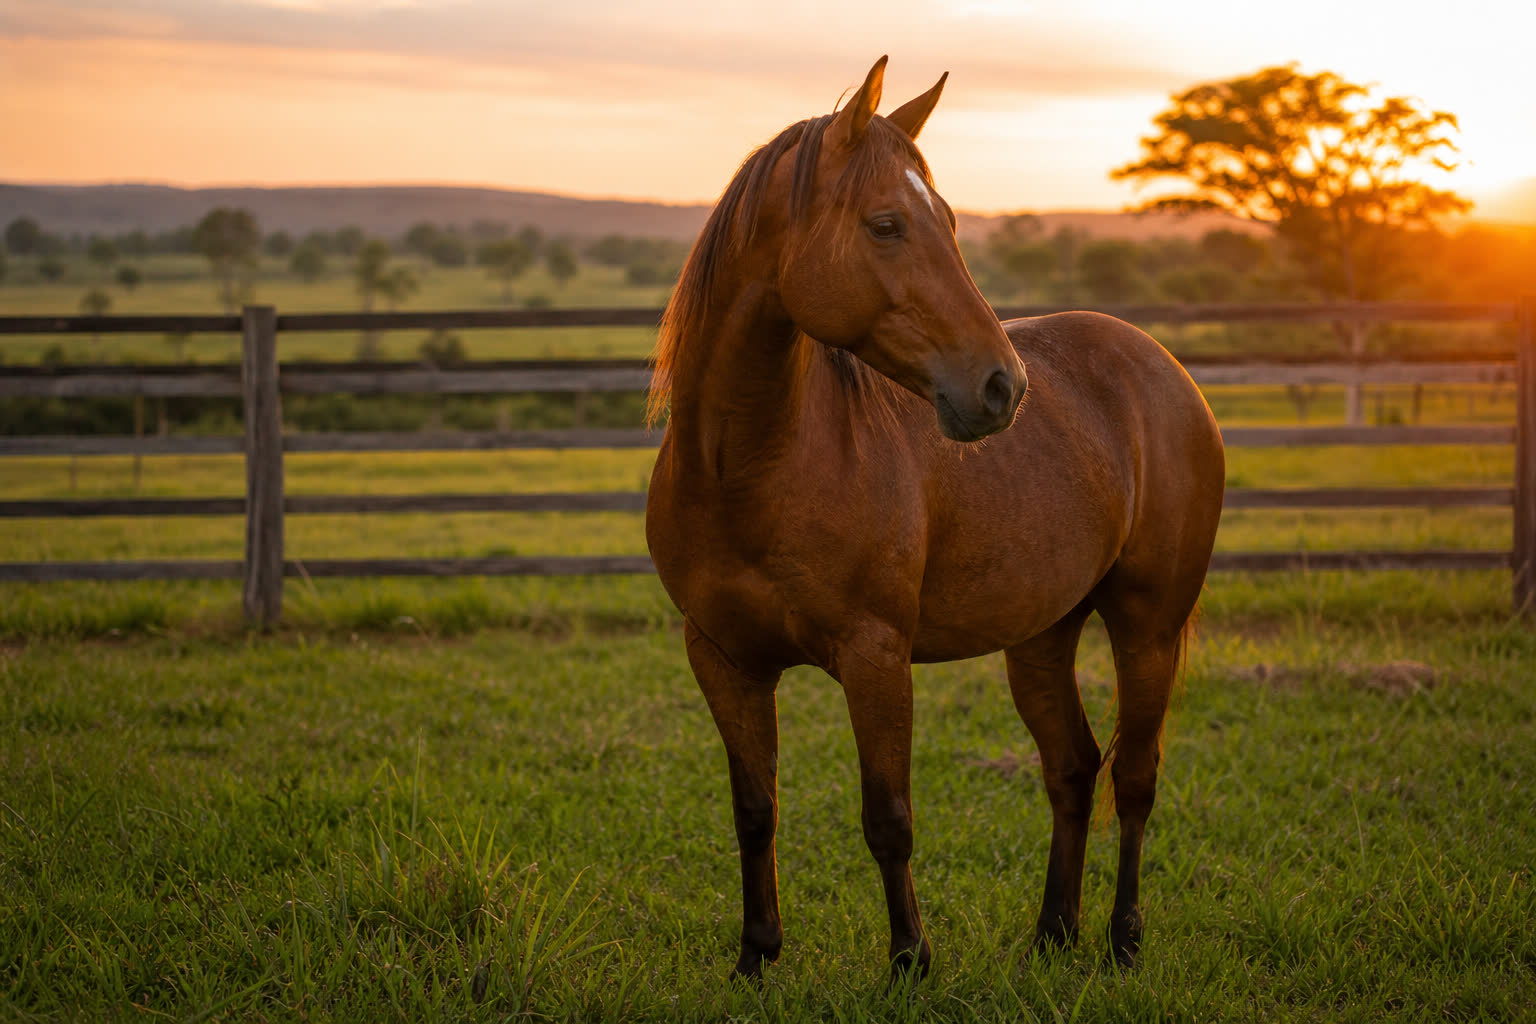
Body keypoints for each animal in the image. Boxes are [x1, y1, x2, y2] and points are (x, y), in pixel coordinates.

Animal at [644, 56, 1225, 979]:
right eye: (886, 224)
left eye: (947, 220)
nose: (1001, 387)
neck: (748, 472)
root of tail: (1163, 367)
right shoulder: (723, 660)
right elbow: (754, 811)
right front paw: (757, 956)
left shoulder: (877, 656)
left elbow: (888, 817)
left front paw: (910, 961)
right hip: (1042, 635)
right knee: (1072, 768)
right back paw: (1052, 933)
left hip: (1149, 626)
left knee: (1134, 777)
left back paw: (1124, 940)